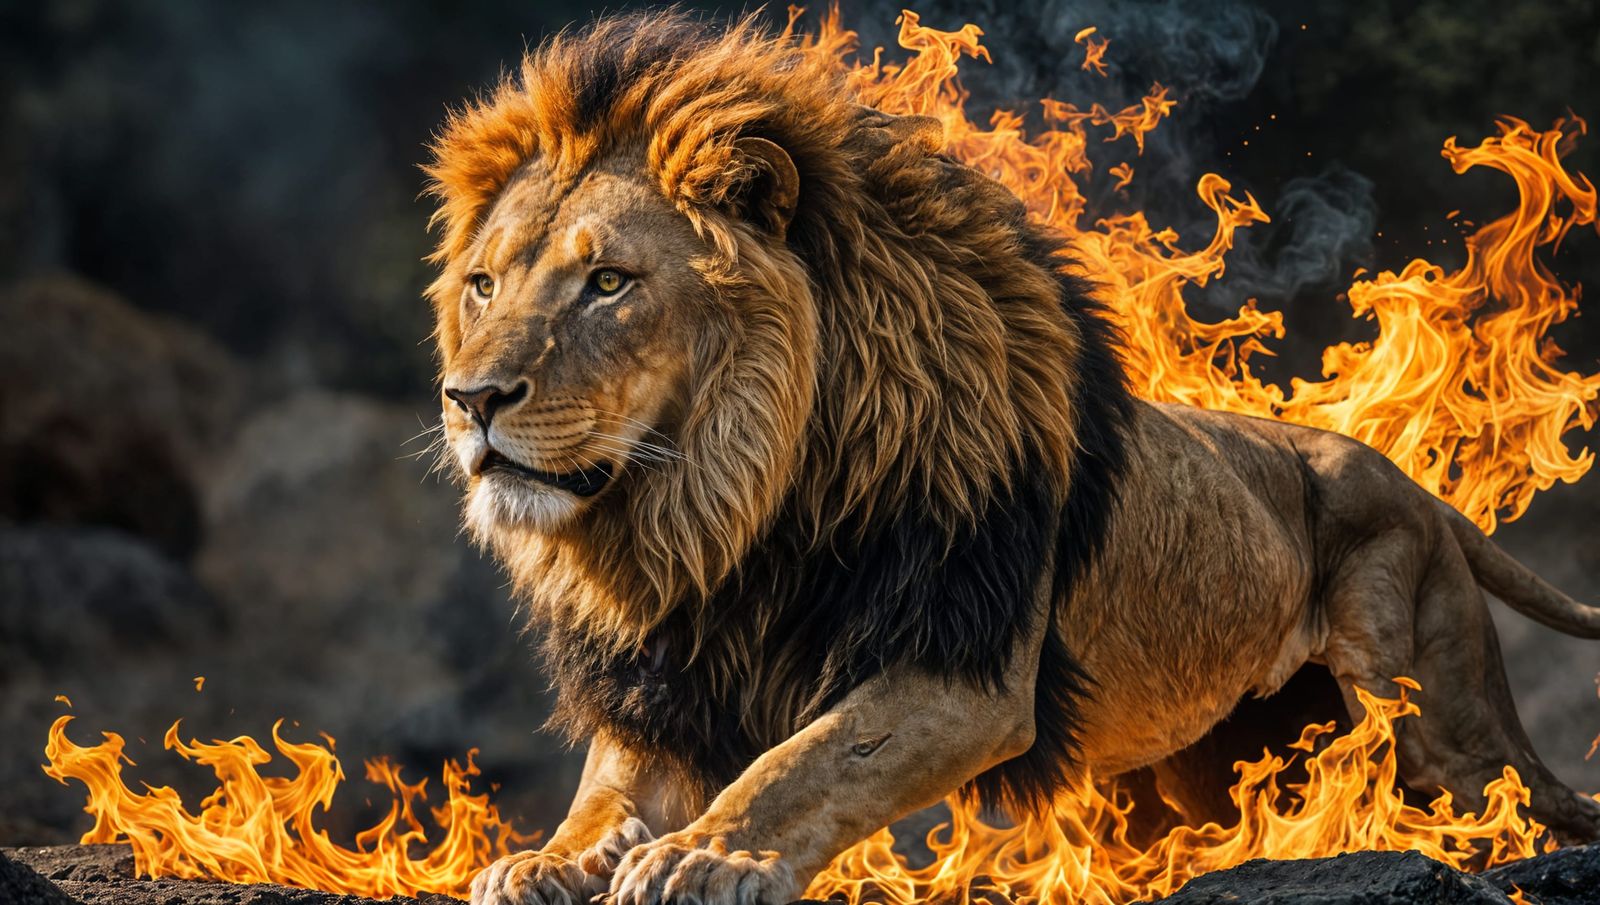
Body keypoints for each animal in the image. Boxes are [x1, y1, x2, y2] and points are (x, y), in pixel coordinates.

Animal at [421, 12, 1600, 905]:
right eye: (483, 284)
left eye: (608, 283)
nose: (470, 400)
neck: (729, 511)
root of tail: (1418, 490)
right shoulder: (665, 685)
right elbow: (604, 794)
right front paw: (545, 859)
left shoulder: (963, 666)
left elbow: (799, 763)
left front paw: (709, 851)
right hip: (1221, 760)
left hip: (1429, 711)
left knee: (1530, 801)